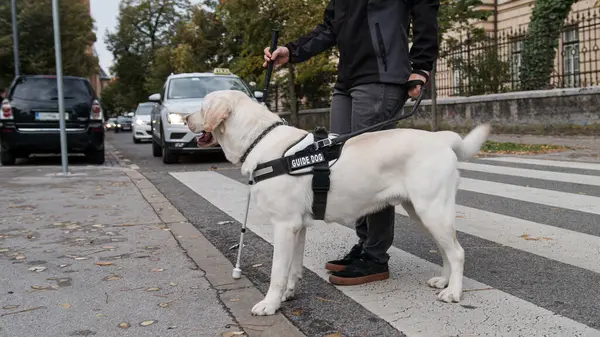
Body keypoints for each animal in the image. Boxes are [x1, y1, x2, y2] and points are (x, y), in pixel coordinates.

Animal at [188, 89, 492, 316]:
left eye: (202, 107)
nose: (186, 118)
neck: (259, 141)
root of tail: (441, 137)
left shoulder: (284, 225)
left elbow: (277, 271)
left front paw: (270, 303)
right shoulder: (297, 226)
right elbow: (293, 267)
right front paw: (289, 293)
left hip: (432, 210)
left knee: (457, 252)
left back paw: (453, 292)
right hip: (422, 211)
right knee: (446, 250)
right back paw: (444, 281)